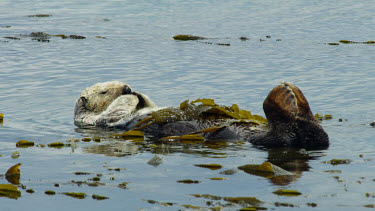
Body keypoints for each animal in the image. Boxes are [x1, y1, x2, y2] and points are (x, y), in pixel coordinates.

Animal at [75, 81, 330, 148]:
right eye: (104, 91)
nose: (127, 88)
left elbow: (148, 102)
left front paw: (138, 93)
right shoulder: (97, 120)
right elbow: (116, 111)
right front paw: (130, 96)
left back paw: (295, 96)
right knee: (282, 136)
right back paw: (283, 96)